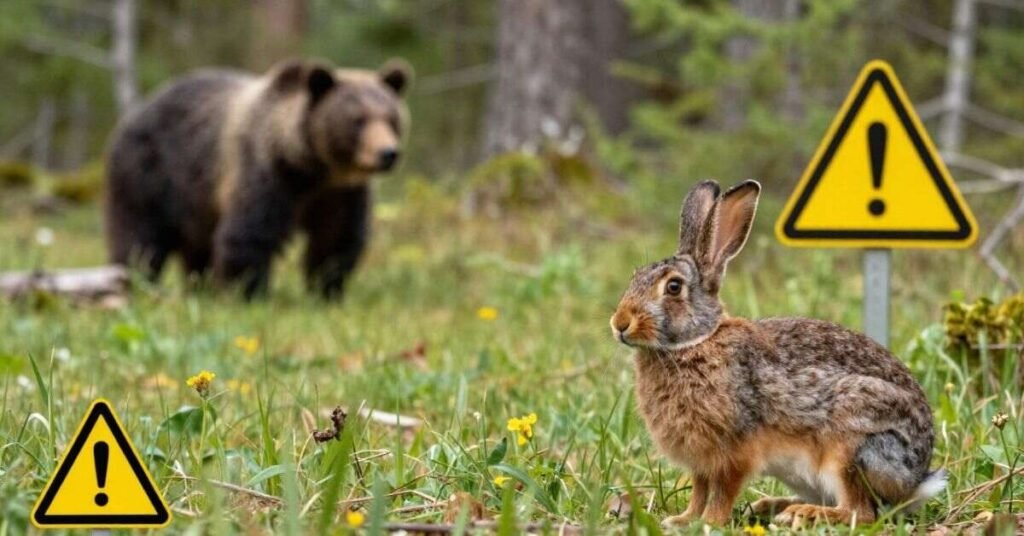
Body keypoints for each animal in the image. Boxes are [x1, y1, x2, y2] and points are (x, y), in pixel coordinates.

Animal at [104, 58, 411, 298]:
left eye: (391, 117)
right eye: (357, 120)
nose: (388, 153)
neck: (312, 168)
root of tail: (137, 112)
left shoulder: (341, 194)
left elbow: (336, 238)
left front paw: (326, 291)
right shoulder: (265, 172)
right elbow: (250, 233)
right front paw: (248, 294)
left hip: (196, 201)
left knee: (197, 246)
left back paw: (200, 287)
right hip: (151, 174)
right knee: (139, 236)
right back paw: (136, 282)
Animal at [610, 179, 945, 528]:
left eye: (673, 287)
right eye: (635, 277)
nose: (620, 324)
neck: (694, 342)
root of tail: (915, 481)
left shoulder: (735, 449)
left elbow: (723, 490)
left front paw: (710, 522)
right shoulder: (700, 460)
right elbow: (700, 490)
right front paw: (683, 520)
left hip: (852, 447)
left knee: (860, 512)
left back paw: (803, 513)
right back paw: (772, 507)